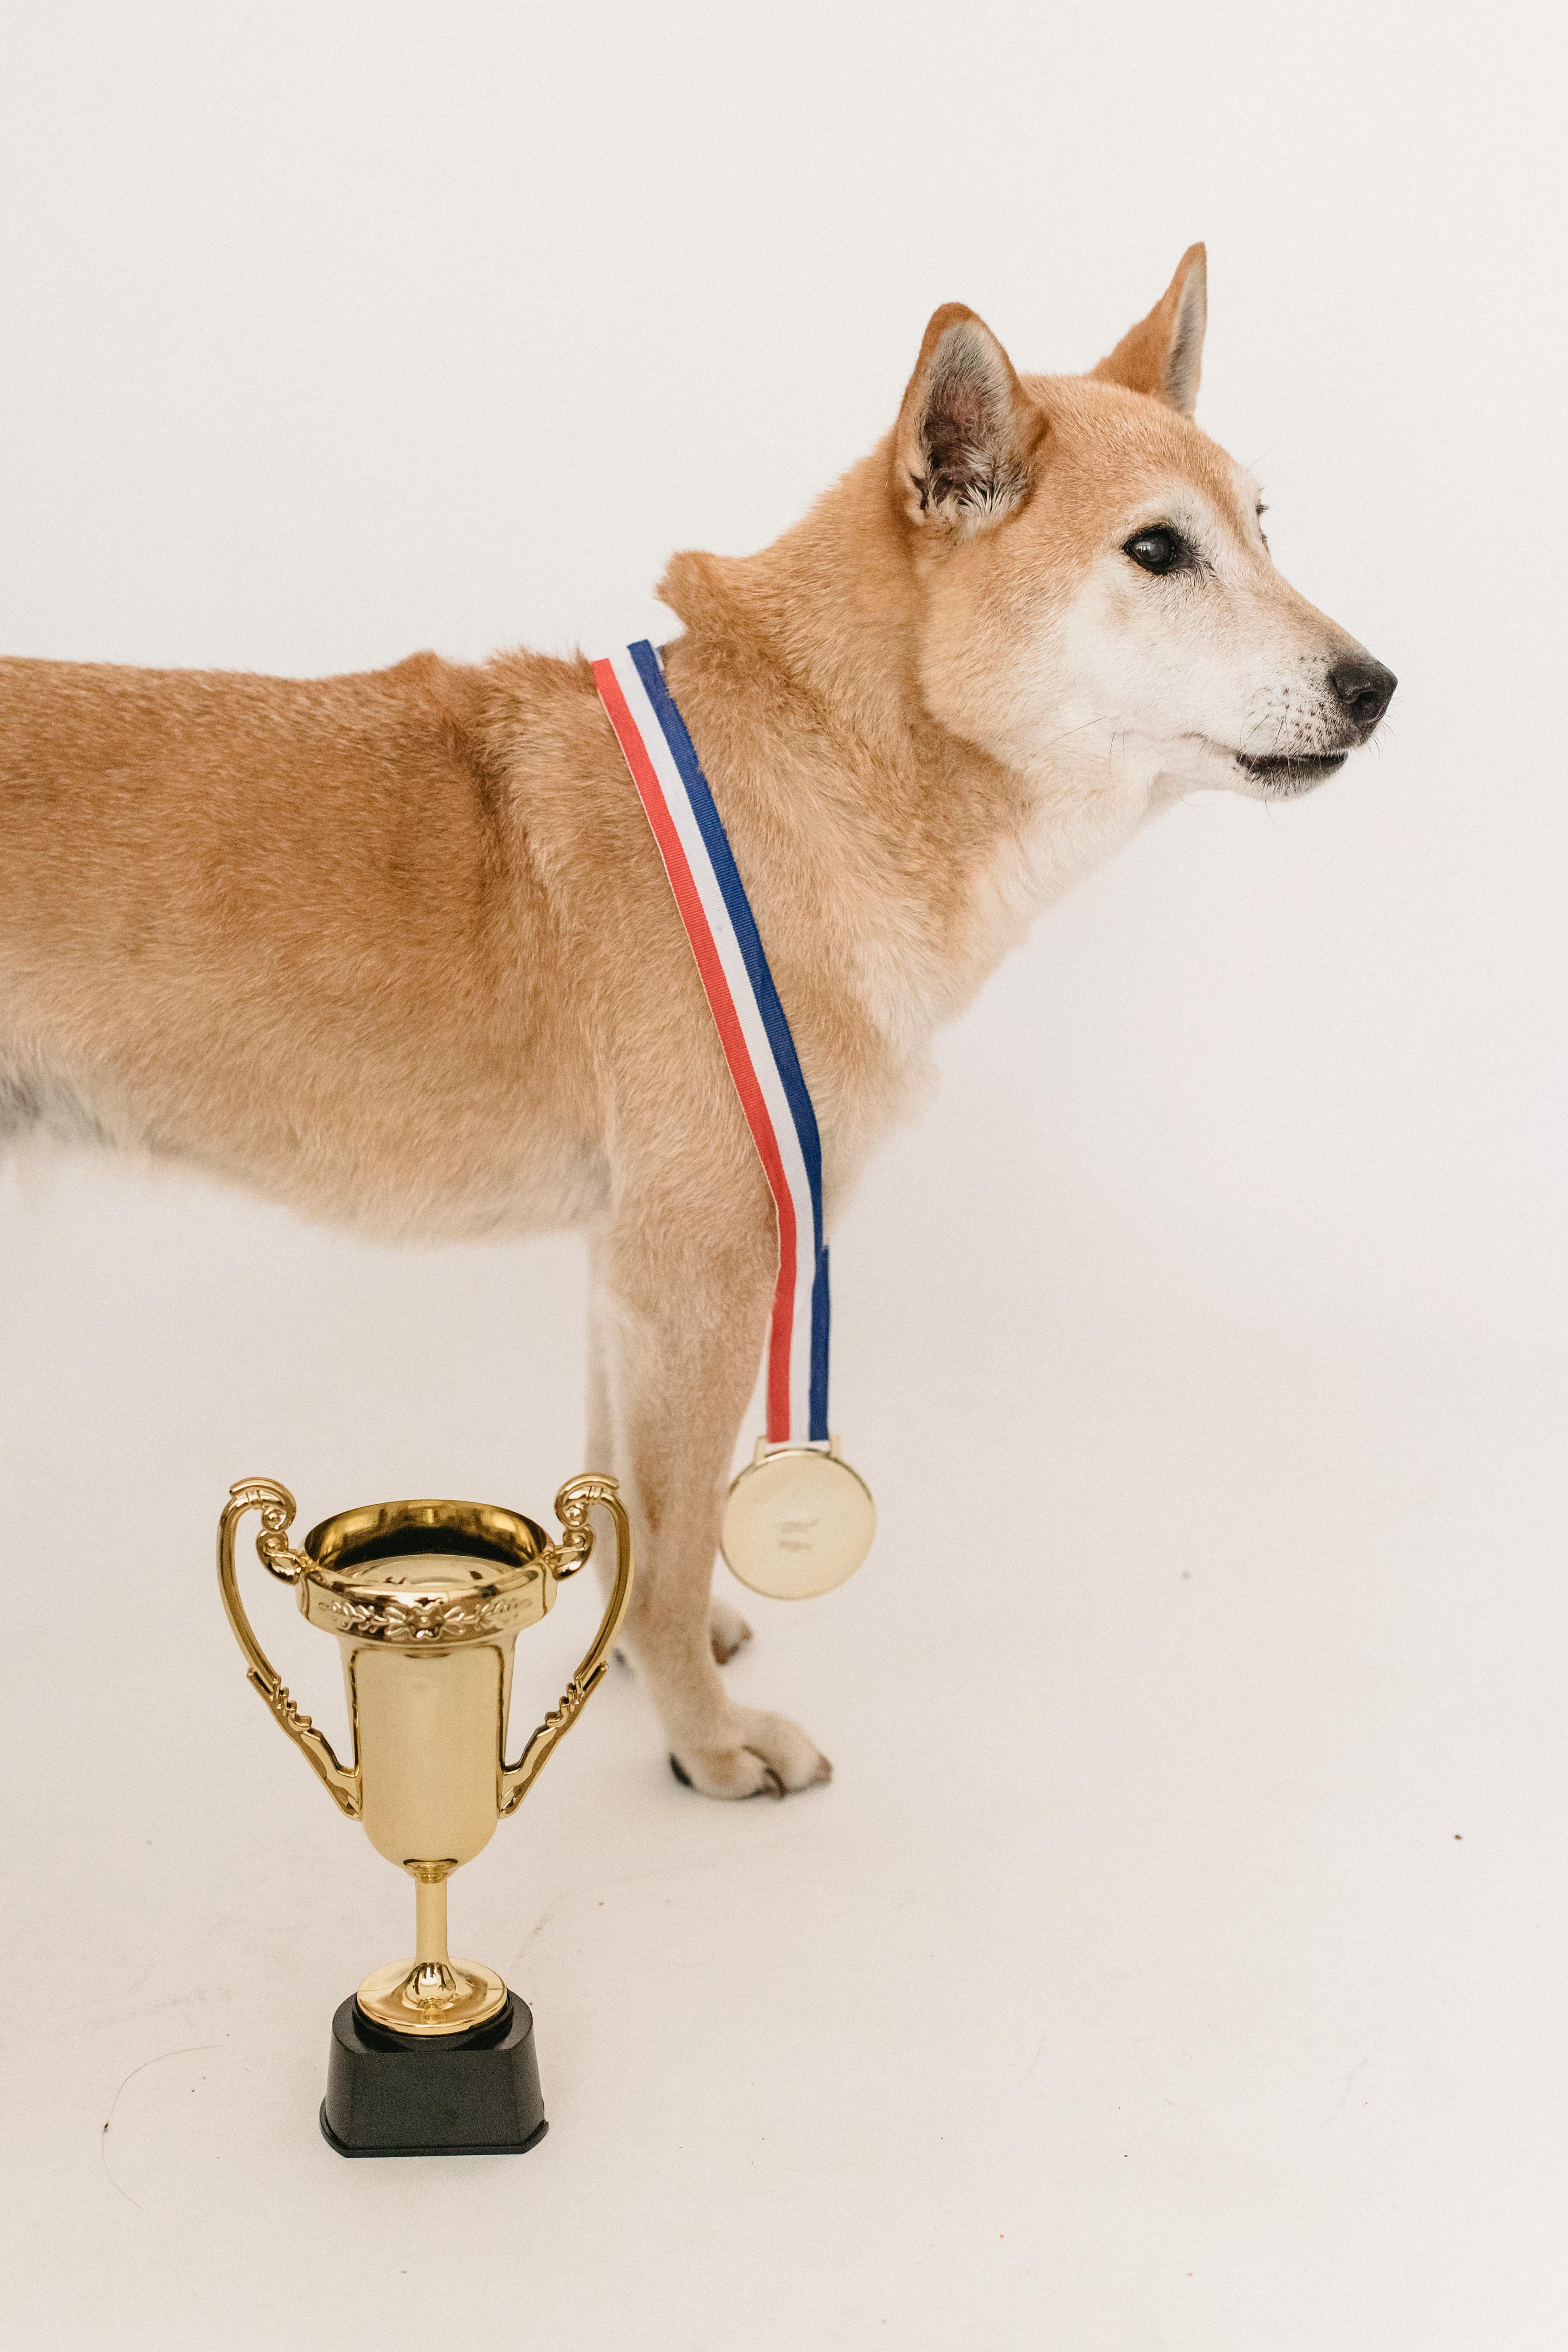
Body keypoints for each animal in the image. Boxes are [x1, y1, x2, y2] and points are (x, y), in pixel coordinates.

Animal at [0, 248, 1401, 1797]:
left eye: (1259, 527)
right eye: (1157, 551)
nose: (1375, 686)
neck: (795, 772)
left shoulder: (629, 1273)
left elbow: (625, 1509)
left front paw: (633, 1660)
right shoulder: (702, 1271)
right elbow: (668, 1547)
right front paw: (704, 1738)